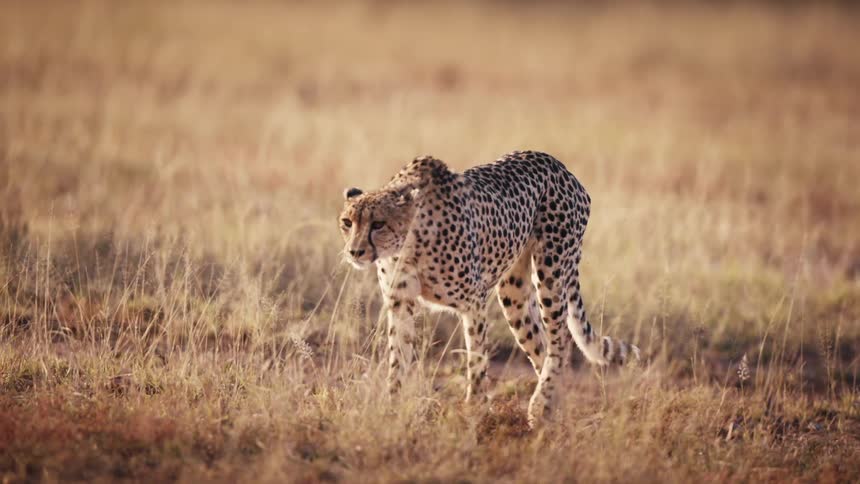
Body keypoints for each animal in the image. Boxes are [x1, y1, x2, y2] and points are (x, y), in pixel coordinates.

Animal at [338, 150, 639, 426]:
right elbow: (397, 359)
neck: (409, 244)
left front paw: (474, 407)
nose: (354, 251)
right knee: (541, 344)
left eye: (378, 224)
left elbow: (476, 358)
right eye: (347, 222)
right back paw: (551, 408)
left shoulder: (473, 302)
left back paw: (541, 404)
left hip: (552, 270)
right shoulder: (400, 303)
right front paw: (392, 407)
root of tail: (559, 165)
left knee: (560, 339)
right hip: (513, 293)